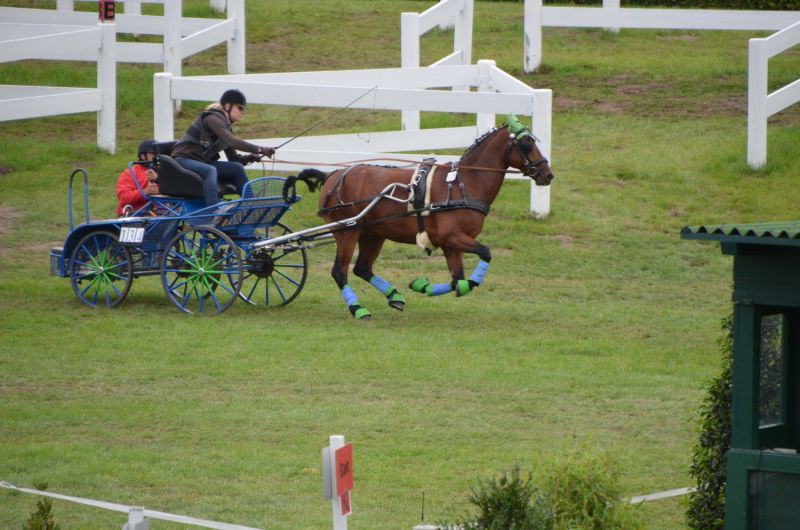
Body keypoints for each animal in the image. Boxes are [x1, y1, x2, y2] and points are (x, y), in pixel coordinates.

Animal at [294, 114, 554, 320]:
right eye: (526, 143)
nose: (547, 174)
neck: (462, 185)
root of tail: (333, 175)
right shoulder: (453, 237)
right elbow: (484, 257)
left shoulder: (451, 245)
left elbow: (459, 282)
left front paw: (422, 286)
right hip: (347, 231)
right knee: (340, 271)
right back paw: (358, 308)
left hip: (373, 234)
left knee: (362, 268)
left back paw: (394, 295)